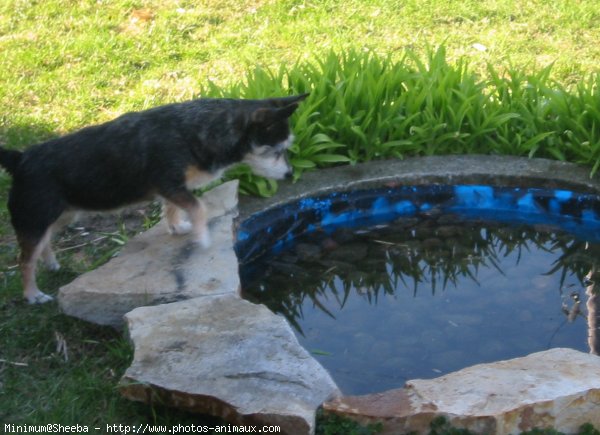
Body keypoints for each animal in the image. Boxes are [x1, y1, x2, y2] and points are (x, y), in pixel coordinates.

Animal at [0, 93, 310, 304]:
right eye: (275, 150)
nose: (289, 174)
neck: (198, 129)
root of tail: (20, 158)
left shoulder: (173, 189)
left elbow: (173, 209)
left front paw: (178, 228)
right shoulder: (169, 184)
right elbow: (198, 207)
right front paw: (202, 238)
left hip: (62, 214)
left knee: (45, 242)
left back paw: (51, 263)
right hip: (35, 217)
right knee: (25, 260)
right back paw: (33, 294)